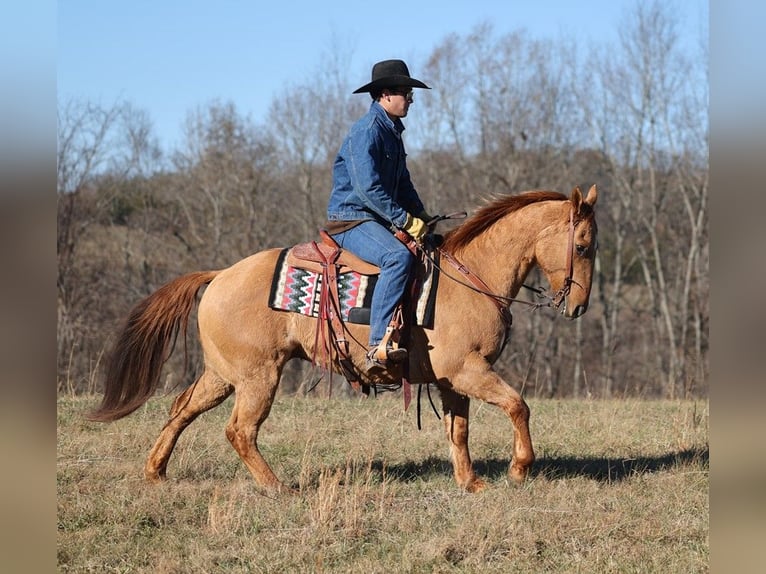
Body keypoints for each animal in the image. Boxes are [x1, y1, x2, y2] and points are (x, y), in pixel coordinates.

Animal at [90, 187, 600, 492]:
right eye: (583, 245)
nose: (578, 307)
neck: (471, 276)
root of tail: (219, 275)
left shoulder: (453, 380)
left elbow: (459, 430)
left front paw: (471, 483)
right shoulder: (469, 371)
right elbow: (518, 405)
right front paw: (519, 467)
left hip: (221, 374)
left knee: (182, 410)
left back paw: (156, 471)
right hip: (257, 376)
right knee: (240, 430)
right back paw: (276, 487)